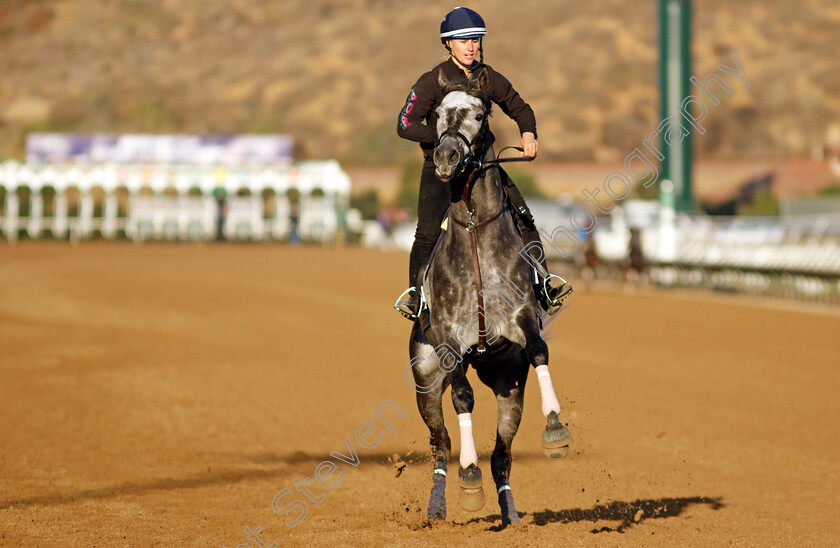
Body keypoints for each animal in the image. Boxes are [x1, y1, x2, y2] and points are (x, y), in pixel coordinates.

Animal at [406, 68, 572, 528]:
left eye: (480, 115)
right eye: (437, 114)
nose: (446, 157)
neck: (475, 230)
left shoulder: (520, 318)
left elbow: (539, 350)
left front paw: (555, 427)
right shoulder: (448, 341)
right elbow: (463, 398)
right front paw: (469, 479)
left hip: (507, 384)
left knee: (502, 456)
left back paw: (511, 516)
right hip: (426, 383)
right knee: (441, 443)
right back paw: (438, 506)